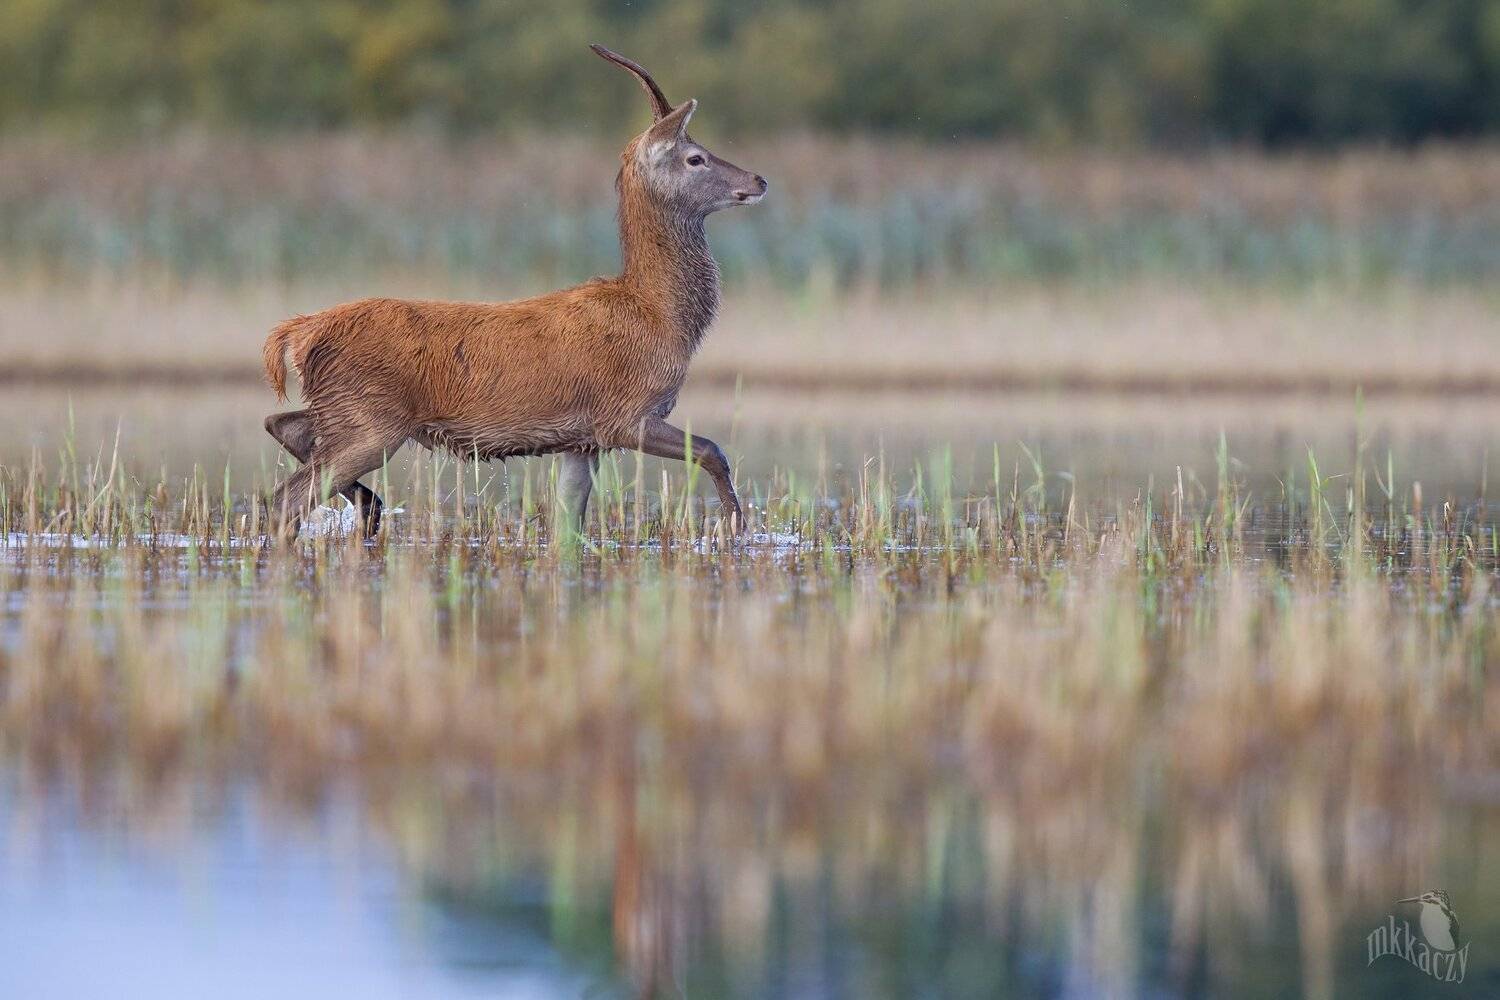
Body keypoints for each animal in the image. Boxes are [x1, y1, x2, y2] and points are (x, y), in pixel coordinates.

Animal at [261, 43, 767, 539]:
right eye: (695, 156)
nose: (759, 180)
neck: (662, 315)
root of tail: (300, 332)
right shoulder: (624, 413)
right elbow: (713, 449)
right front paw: (736, 528)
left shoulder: (583, 439)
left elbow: (569, 523)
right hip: (370, 417)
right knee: (285, 497)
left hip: (342, 407)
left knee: (282, 425)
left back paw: (369, 505)